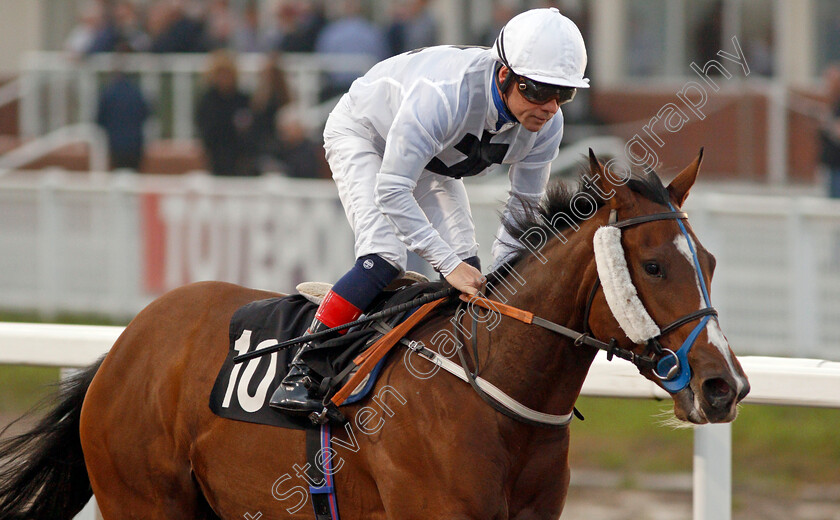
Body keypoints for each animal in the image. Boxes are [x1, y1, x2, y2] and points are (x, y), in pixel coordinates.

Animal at [0, 148, 748, 516]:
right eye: (653, 265)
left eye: (711, 262)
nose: (725, 386)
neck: (495, 393)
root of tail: (123, 346)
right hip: (146, 500)